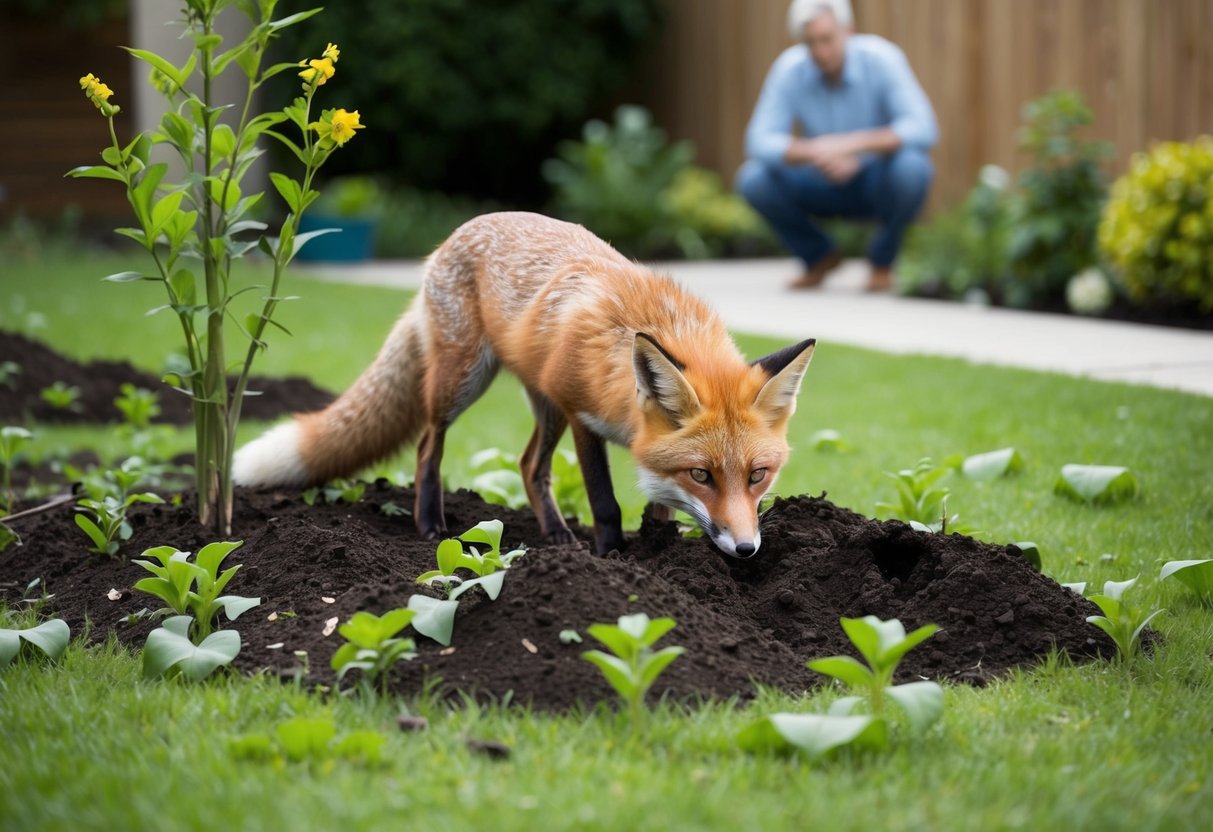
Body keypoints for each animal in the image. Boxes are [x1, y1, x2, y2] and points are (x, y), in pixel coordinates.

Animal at [233, 212, 815, 558]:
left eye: (758, 475)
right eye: (703, 474)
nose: (746, 550)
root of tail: (461, 230)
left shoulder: (624, 437)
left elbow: (660, 504)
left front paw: (659, 549)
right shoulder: (582, 416)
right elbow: (605, 501)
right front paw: (611, 557)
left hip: (543, 405)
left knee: (529, 465)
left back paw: (556, 535)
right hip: (465, 383)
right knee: (427, 446)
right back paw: (431, 522)